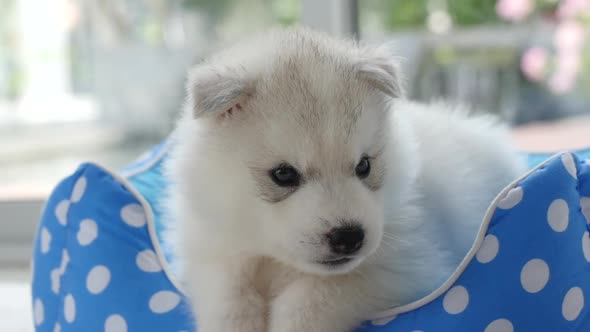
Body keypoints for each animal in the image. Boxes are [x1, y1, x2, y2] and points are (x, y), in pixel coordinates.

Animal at [164, 28, 524, 332]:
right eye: (283, 174)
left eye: (363, 166)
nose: (349, 237)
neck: (276, 261)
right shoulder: (213, 251)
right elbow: (228, 298)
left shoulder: (404, 267)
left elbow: (310, 300)